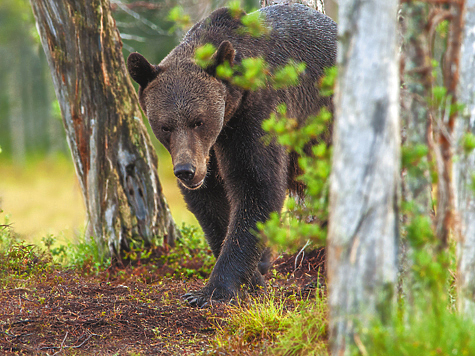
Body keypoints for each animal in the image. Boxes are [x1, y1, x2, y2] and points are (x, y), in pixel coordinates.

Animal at [128, 3, 336, 306]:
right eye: (165, 126)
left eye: (198, 120)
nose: (185, 171)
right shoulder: (209, 151)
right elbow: (211, 204)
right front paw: (254, 278)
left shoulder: (256, 115)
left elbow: (256, 185)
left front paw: (211, 292)